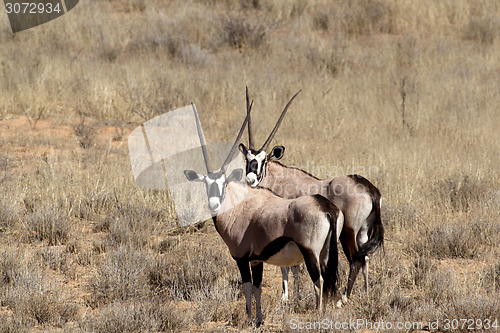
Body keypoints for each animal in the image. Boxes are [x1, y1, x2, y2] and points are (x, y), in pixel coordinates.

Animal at [184, 103, 344, 324]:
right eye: (206, 184)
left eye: (224, 183)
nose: (214, 204)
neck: (239, 206)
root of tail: (326, 208)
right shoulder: (257, 260)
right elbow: (258, 288)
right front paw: (258, 320)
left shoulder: (242, 259)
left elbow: (248, 287)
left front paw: (248, 317)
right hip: (327, 253)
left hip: (311, 253)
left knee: (318, 281)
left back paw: (319, 315)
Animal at [238, 87, 382, 300]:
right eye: (248, 159)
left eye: (264, 160)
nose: (250, 180)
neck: (281, 178)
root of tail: (371, 190)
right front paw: (295, 295)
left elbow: (288, 266)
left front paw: (286, 296)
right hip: (363, 232)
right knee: (365, 258)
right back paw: (364, 293)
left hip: (348, 232)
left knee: (356, 259)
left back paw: (344, 298)